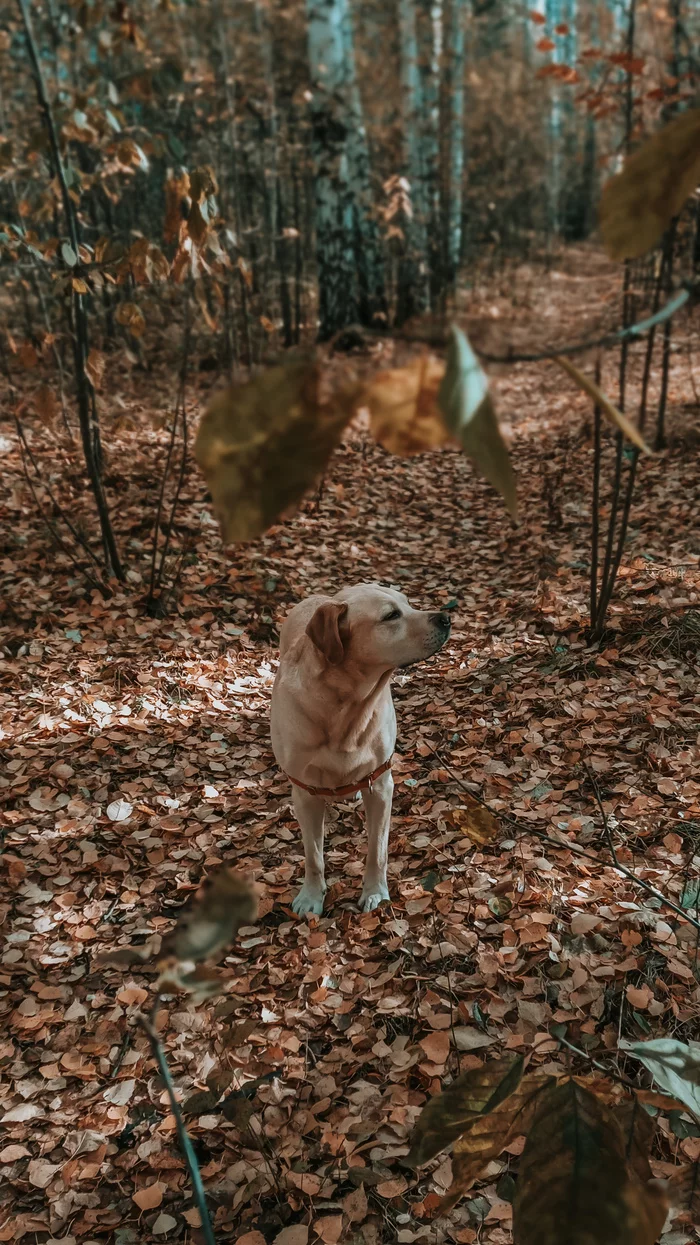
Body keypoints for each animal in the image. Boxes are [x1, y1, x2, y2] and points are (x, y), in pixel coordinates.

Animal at [270, 582, 448, 916]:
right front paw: (311, 895)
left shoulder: (380, 784)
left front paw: (375, 892)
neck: (344, 707)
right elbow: (313, 855)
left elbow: (377, 850)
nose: (445, 618)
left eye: (408, 603)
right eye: (391, 615)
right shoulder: (304, 792)